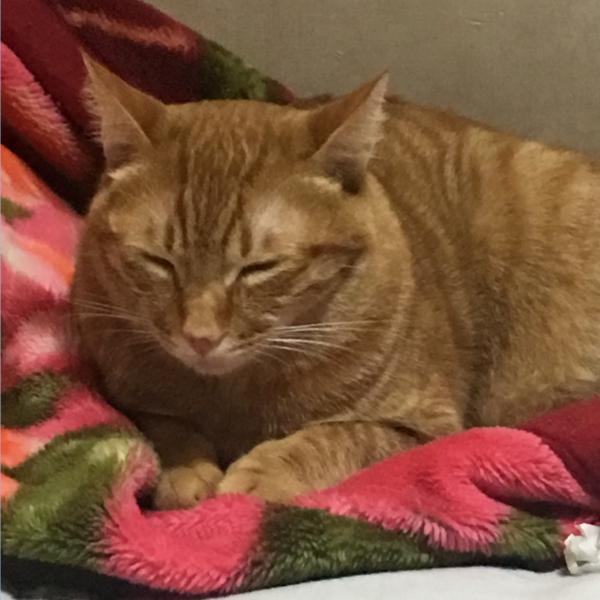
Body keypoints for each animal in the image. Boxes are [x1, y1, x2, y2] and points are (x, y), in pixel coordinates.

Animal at [72, 57, 600, 510]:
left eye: (259, 267)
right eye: (159, 262)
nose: (200, 338)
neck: (234, 394)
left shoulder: (426, 430)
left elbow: (343, 434)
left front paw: (266, 471)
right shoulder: (126, 392)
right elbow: (164, 425)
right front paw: (187, 469)